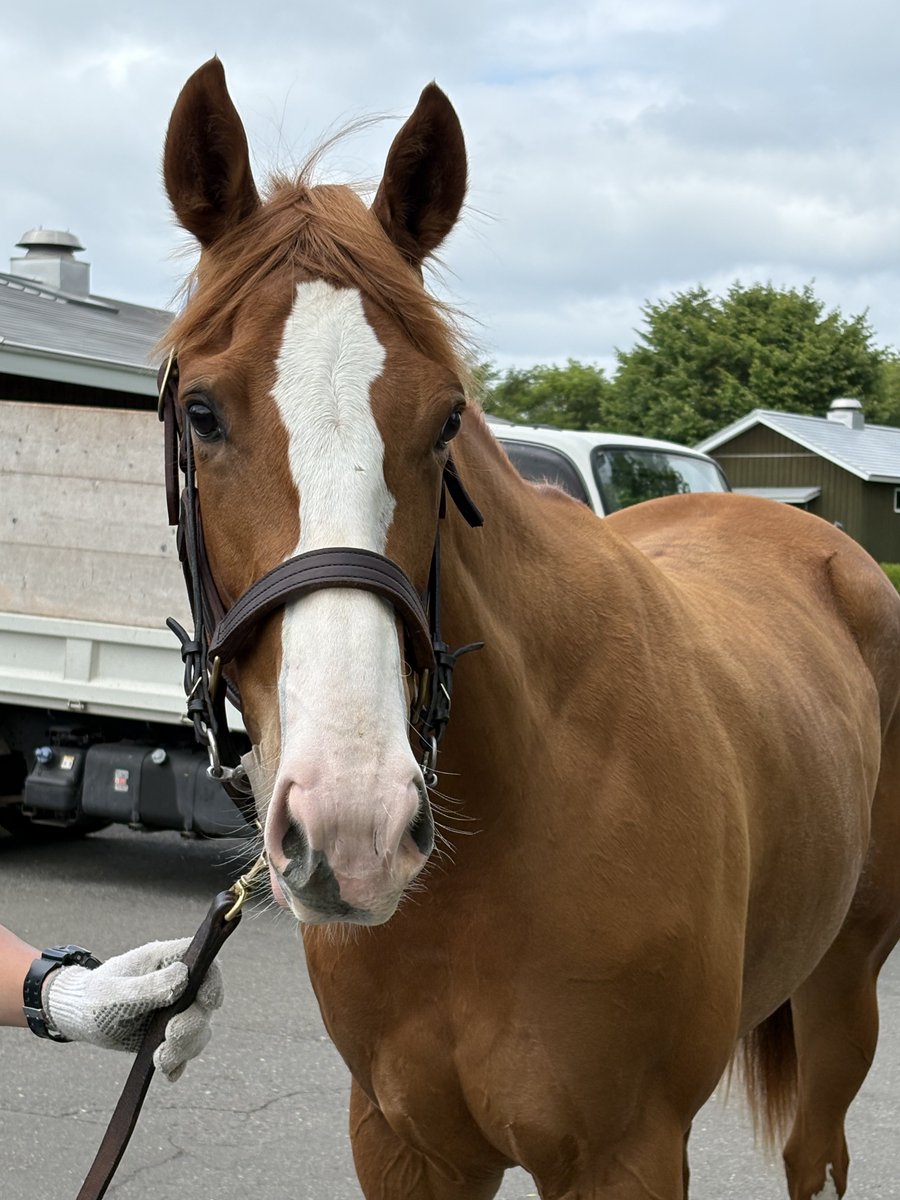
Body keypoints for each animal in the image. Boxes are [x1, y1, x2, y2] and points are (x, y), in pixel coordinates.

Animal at [160, 58, 900, 1199]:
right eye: (202, 412)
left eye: (446, 420)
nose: (355, 826)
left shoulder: (625, 1155)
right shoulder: (404, 1144)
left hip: (843, 994)